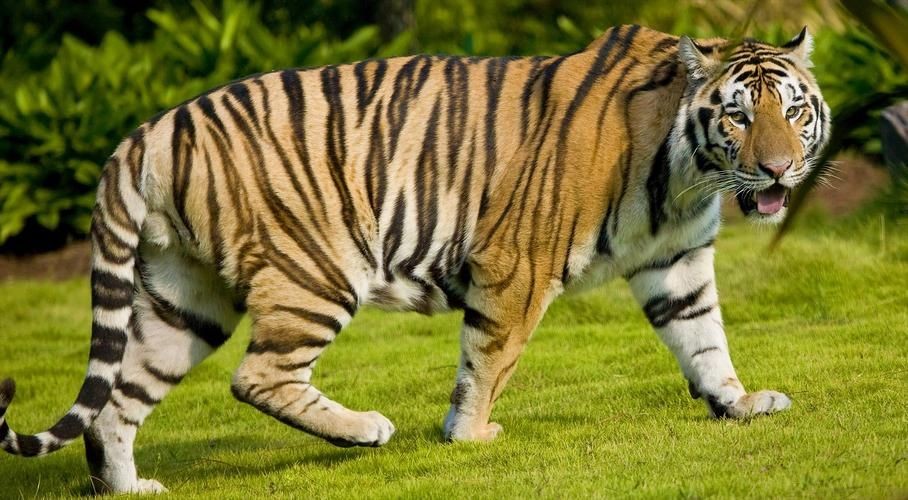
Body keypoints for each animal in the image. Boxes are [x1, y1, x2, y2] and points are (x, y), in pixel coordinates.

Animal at [0, 24, 829, 493]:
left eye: (793, 110)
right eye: (738, 116)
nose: (781, 171)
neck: (687, 176)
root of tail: (148, 130)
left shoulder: (677, 262)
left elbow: (704, 338)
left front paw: (738, 403)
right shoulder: (517, 262)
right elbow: (490, 357)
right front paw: (470, 434)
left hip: (184, 296)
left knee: (117, 401)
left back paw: (129, 487)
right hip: (317, 270)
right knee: (257, 375)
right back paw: (365, 429)